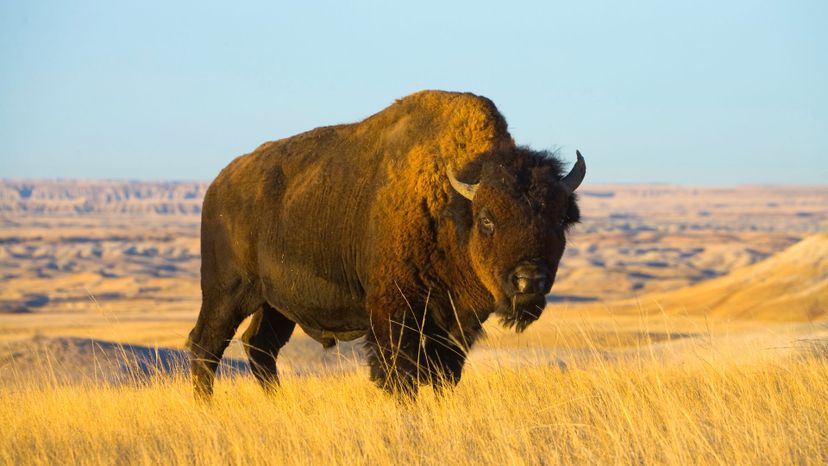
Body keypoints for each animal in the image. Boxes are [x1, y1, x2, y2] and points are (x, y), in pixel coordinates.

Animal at [187, 92, 584, 400]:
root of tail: (219, 184)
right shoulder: (395, 312)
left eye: (560, 218)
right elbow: (398, 373)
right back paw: (207, 407)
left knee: (260, 346)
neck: (451, 207)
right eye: (487, 219)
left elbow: (444, 374)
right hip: (227, 293)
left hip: (275, 305)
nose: (529, 279)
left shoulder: (454, 325)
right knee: (206, 345)